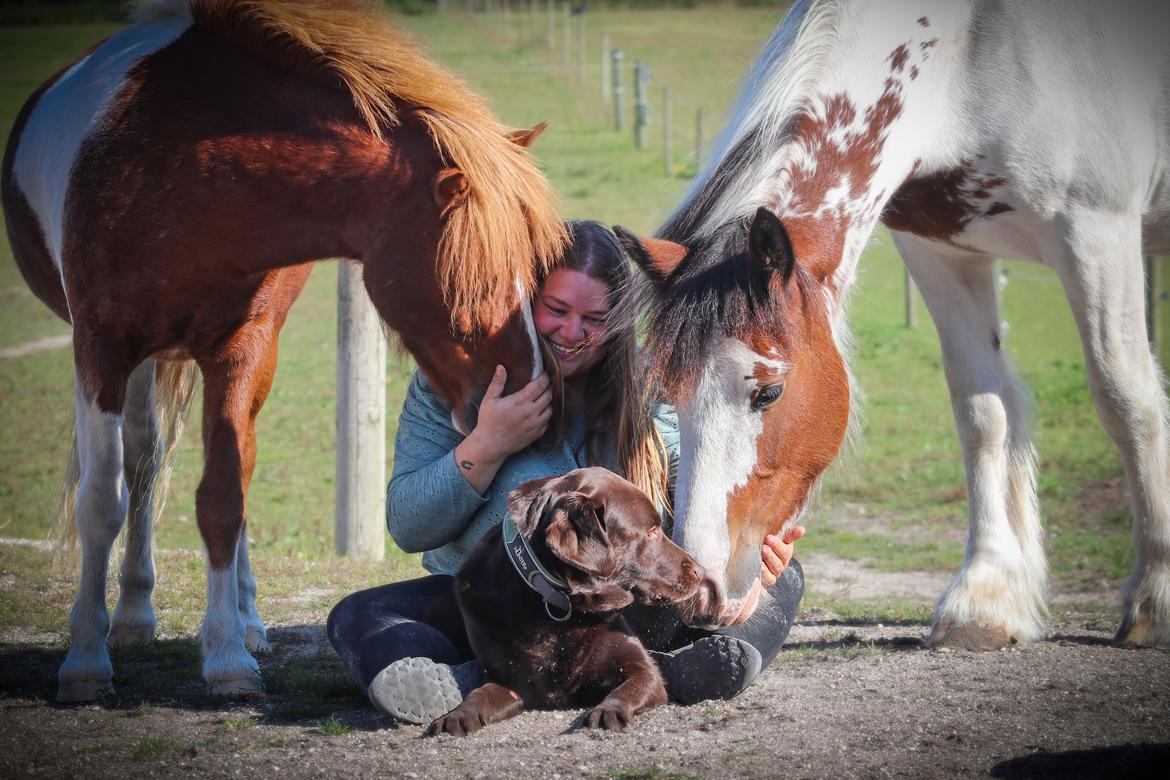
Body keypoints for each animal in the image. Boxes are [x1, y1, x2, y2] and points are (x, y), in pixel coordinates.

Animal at [0, 0, 566, 696]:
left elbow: (224, 497)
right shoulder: (99, 347)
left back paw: (226, 618)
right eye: (477, 284)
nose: (538, 409)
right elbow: (101, 502)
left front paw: (226, 656)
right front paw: (83, 660)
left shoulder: (243, 349)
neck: (184, 167)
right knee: (141, 463)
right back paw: (131, 615)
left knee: (205, 465)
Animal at [617, 0, 1165, 650]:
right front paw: (986, 598)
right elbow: (983, 412)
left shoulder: (1096, 229)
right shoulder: (940, 249)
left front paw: (1154, 599)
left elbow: (1124, 398)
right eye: (668, 395)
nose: (697, 590)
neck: (971, 54)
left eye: (769, 392)